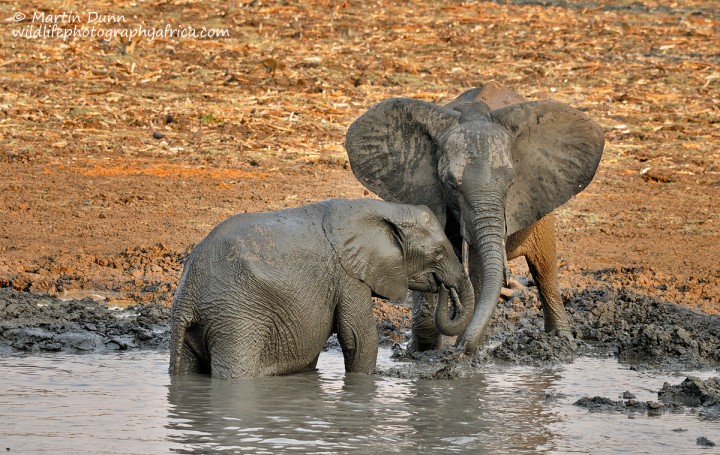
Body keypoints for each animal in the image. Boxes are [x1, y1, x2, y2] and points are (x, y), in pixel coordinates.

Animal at [168, 198, 472, 380]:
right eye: (438, 252)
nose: (445, 288)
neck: (386, 210)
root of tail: (188, 295)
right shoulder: (347, 276)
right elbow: (359, 338)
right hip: (236, 316)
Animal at [346, 81, 604, 356]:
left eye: (511, 183)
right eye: (451, 185)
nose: (461, 349)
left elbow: (479, 269)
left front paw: (461, 351)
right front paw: (420, 353)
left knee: (544, 268)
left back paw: (561, 341)